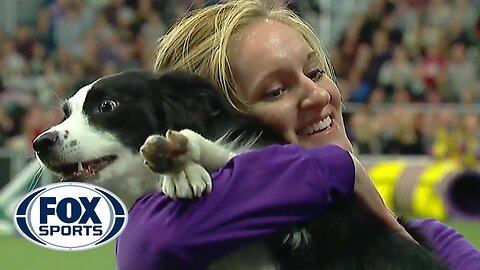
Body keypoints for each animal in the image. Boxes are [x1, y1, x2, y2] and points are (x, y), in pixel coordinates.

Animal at [34, 70, 450, 270]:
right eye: (66, 113)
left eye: (107, 106)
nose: (41, 143)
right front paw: (181, 165)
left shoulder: (330, 223)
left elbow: (239, 154)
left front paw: (183, 159)